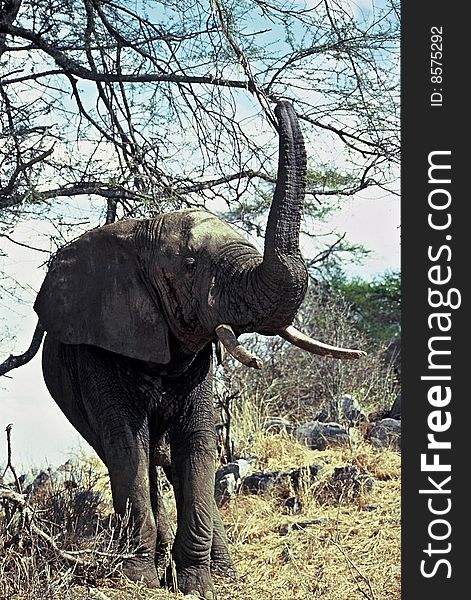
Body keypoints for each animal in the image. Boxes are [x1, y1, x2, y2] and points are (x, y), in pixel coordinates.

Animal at [33, 101, 366, 596]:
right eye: (190, 265)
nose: (279, 105)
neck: (139, 236)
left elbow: (198, 445)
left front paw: (199, 584)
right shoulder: (99, 347)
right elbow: (126, 445)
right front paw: (140, 580)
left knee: (171, 462)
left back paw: (220, 569)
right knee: (131, 456)